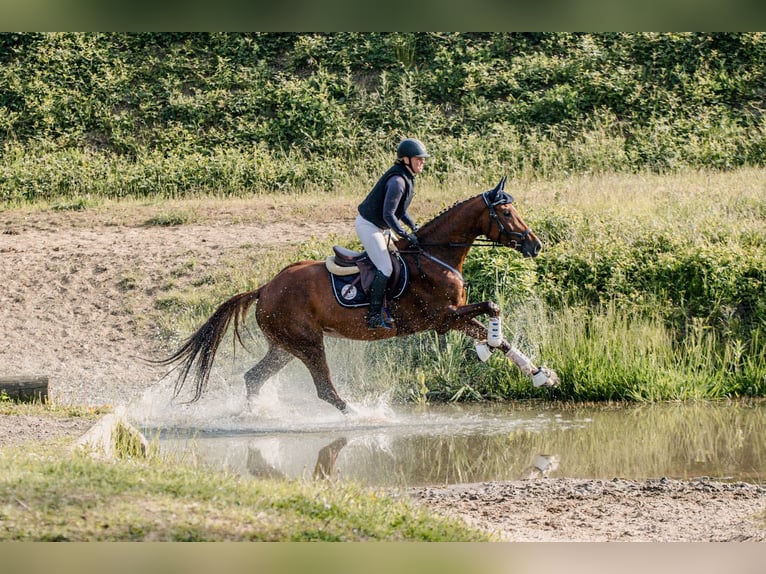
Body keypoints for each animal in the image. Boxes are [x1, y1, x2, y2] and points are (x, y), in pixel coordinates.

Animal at [159, 177, 560, 414]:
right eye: (506, 212)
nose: (535, 245)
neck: (436, 255)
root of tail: (264, 289)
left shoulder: (453, 316)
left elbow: (499, 332)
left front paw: (539, 374)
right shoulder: (440, 318)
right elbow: (492, 306)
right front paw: (486, 348)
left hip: (284, 346)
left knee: (254, 378)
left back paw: (254, 415)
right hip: (308, 343)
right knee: (324, 388)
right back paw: (359, 416)